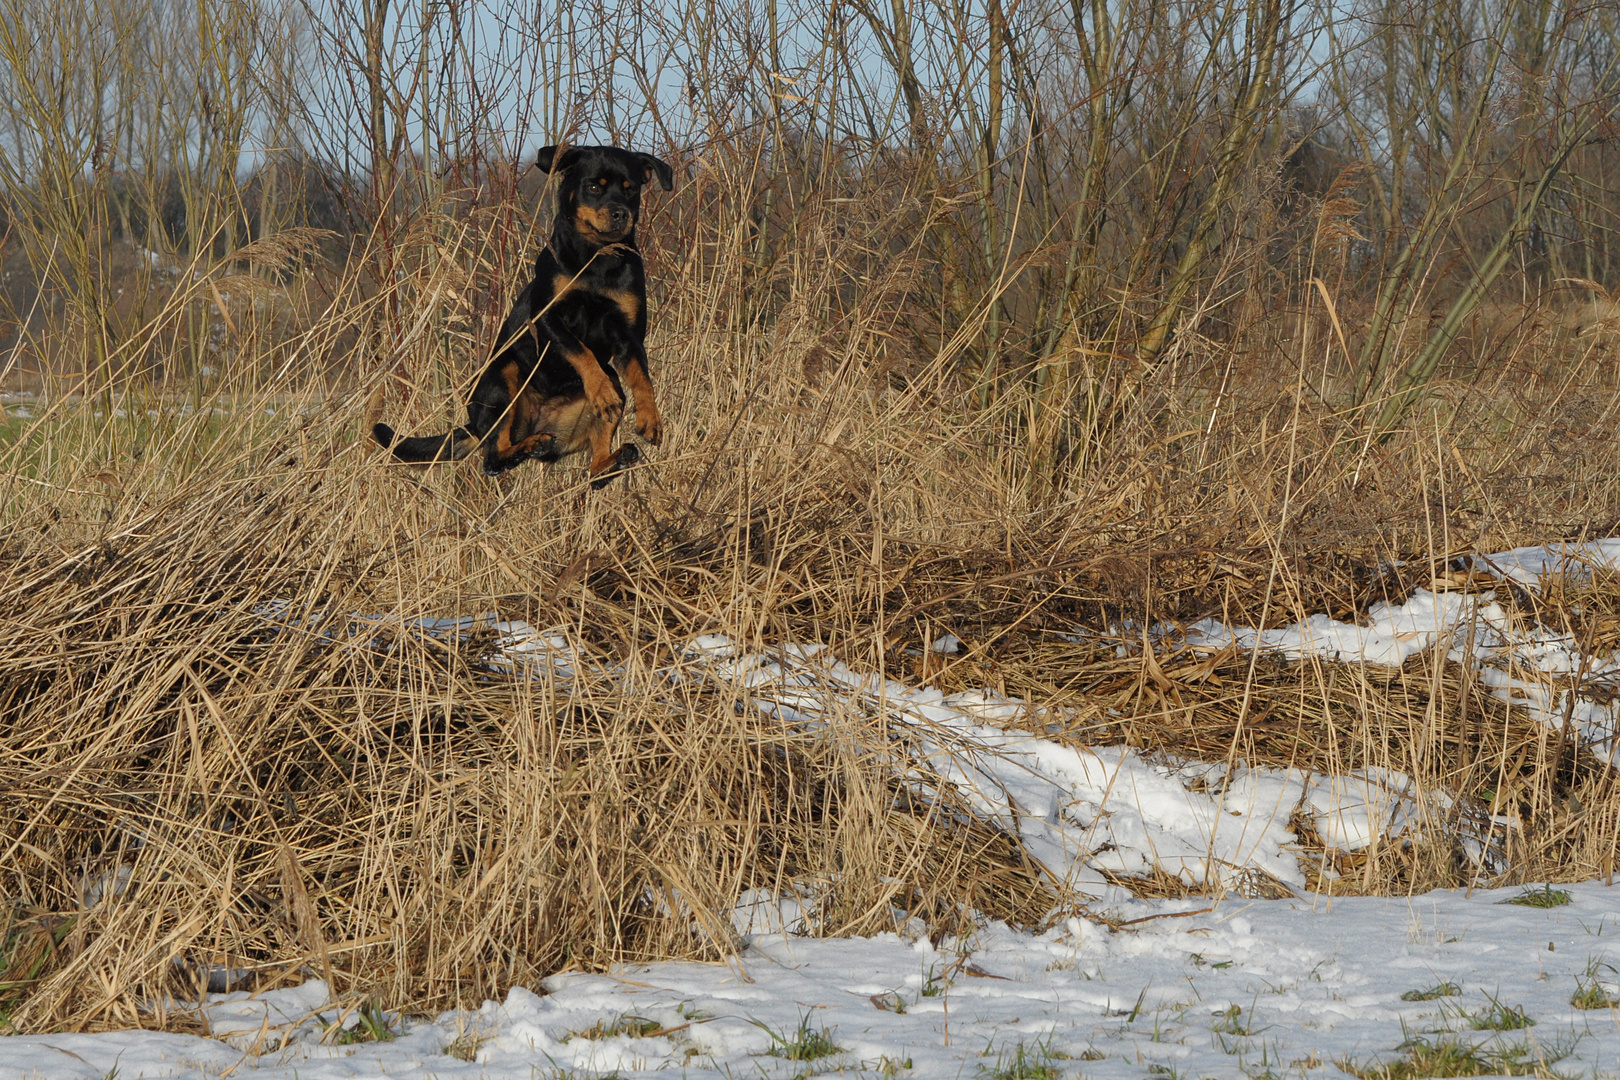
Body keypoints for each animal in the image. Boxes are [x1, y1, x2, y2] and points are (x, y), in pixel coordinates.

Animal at [372, 142, 670, 485]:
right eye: (594, 187)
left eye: (631, 189)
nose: (621, 213)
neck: (597, 260)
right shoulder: (548, 318)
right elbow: (579, 350)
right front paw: (603, 394)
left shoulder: (628, 335)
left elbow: (641, 376)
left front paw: (650, 417)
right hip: (503, 377)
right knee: (493, 458)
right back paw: (529, 445)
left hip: (604, 382)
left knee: (594, 471)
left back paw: (615, 458)